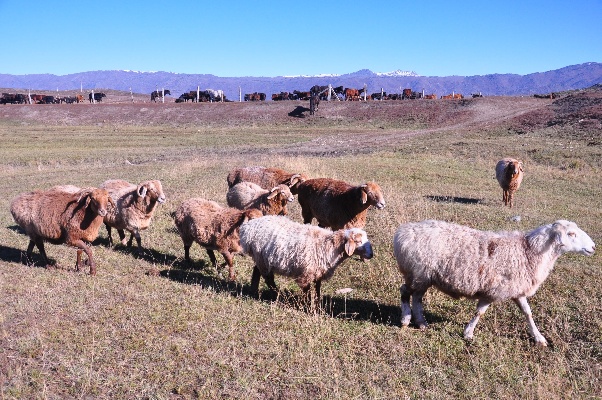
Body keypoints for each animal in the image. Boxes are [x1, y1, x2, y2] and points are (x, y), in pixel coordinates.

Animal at [238, 216, 370, 306]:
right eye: (358, 241)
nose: (371, 254)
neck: (329, 245)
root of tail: (247, 228)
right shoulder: (306, 273)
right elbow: (307, 291)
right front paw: (308, 305)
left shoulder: (318, 271)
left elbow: (317, 288)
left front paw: (317, 302)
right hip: (262, 258)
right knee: (268, 278)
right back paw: (276, 294)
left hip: (262, 258)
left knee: (256, 271)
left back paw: (254, 291)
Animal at [392, 220, 592, 346]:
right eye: (571, 234)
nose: (593, 247)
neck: (529, 251)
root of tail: (402, 232)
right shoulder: (493, 291)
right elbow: (480, 312)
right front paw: (468, 333)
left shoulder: (517, 290)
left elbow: (528, 313)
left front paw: (539, 338)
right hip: (418, 273)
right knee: (405, 292)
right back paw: (406, 319)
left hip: (424, 277)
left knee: (417, 297)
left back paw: (421, 322)